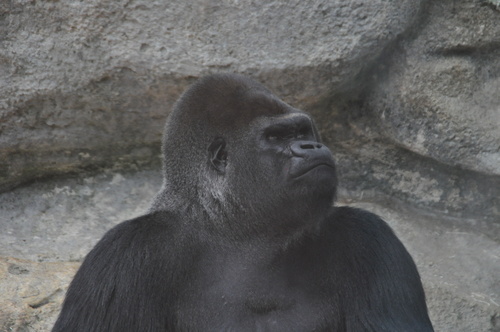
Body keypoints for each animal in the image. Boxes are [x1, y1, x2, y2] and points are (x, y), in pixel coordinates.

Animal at [51, 74, 434, 330]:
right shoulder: (125, 253)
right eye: (276, 137)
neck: (236, 229)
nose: (313, 146)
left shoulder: (368, 237)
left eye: (302, 132)